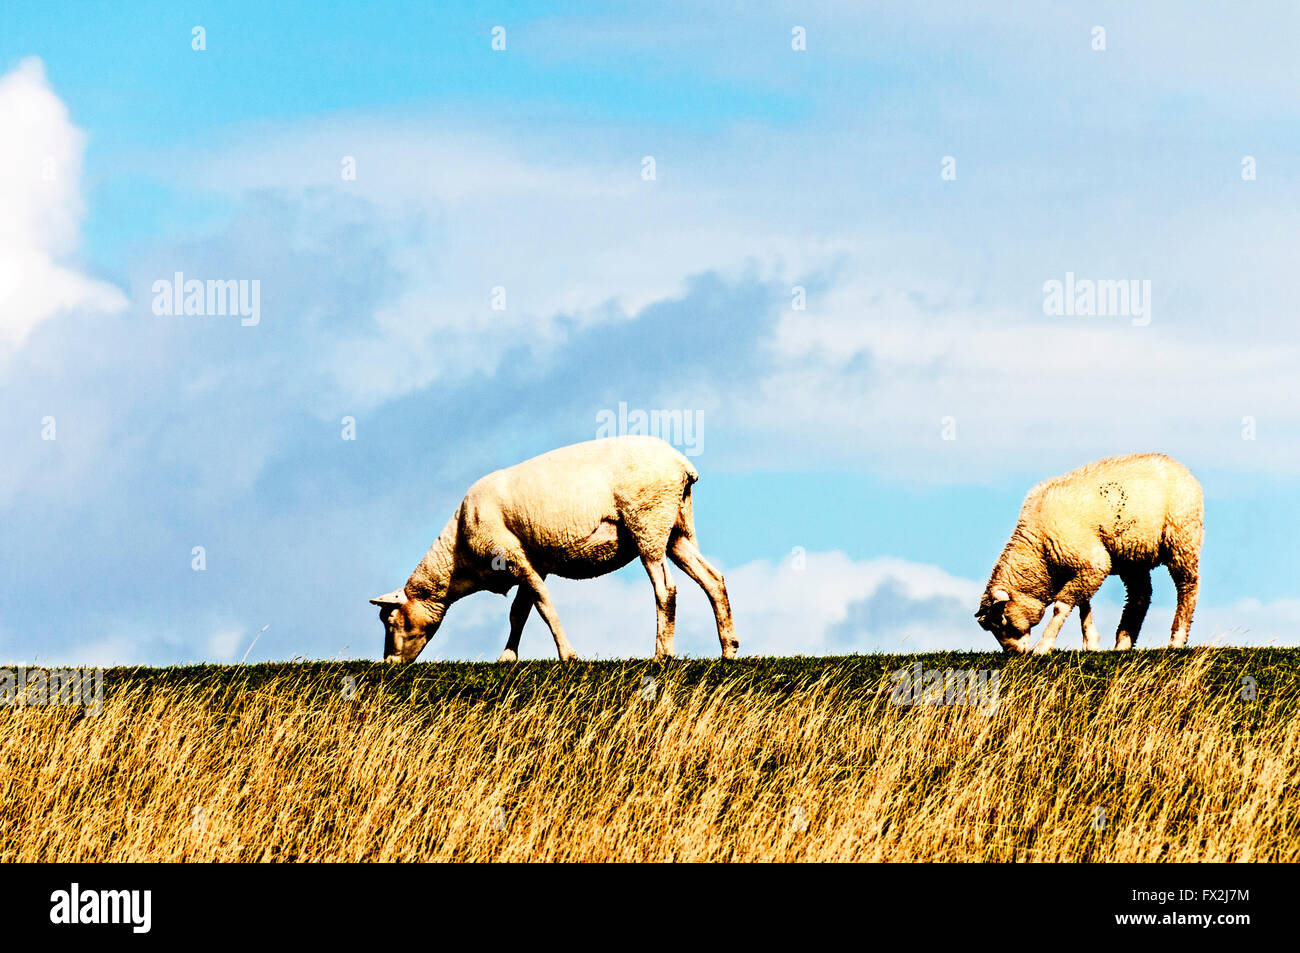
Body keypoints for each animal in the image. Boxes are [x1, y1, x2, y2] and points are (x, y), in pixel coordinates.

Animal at [371, 434, 743, 660]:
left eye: (390, 621)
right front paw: (507, 657)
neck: (457, 560)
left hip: (647, 524)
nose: (389, 663)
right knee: (713, 579)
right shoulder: (534, 562)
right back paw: (729, 649)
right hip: (676, 528)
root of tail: (682, 465)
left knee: (666, 589)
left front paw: (568, 655)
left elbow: (543, 605)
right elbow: (519, 612)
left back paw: (662, 653)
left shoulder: (512, 556)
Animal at [977, 455, 1206, 655]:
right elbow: (1083, 605)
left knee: (1188, 586)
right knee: (1140, 595)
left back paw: (1176, 639)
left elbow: (1060, 607)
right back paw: (1123, 643)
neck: (1039, 549)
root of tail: (1180, 467)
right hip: (1132, 556)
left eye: (1002, 620)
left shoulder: (1093, 562)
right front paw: (1091, 643)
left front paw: (1044, 646)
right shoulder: (1083, 568)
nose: (1014, 653)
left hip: (1182, 537)